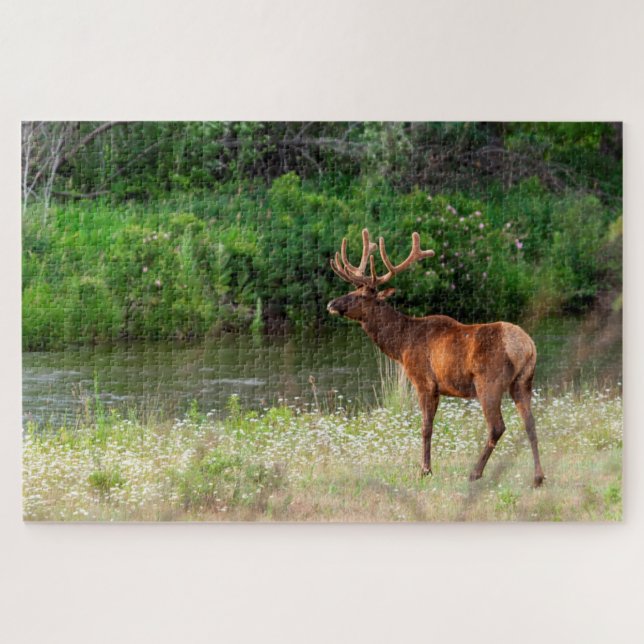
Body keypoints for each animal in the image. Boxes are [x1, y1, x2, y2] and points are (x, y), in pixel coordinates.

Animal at [327, 228, 545, 487]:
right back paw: (538, 477)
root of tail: (527, 347)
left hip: (489, 382)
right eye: (351, 290)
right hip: (523, 381)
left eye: (359, 296)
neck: (402, 345)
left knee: (497, 426)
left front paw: (425, 470)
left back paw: (475, 473)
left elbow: (426, 428)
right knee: (530, 424)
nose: (331, 303)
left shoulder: (424, 381)